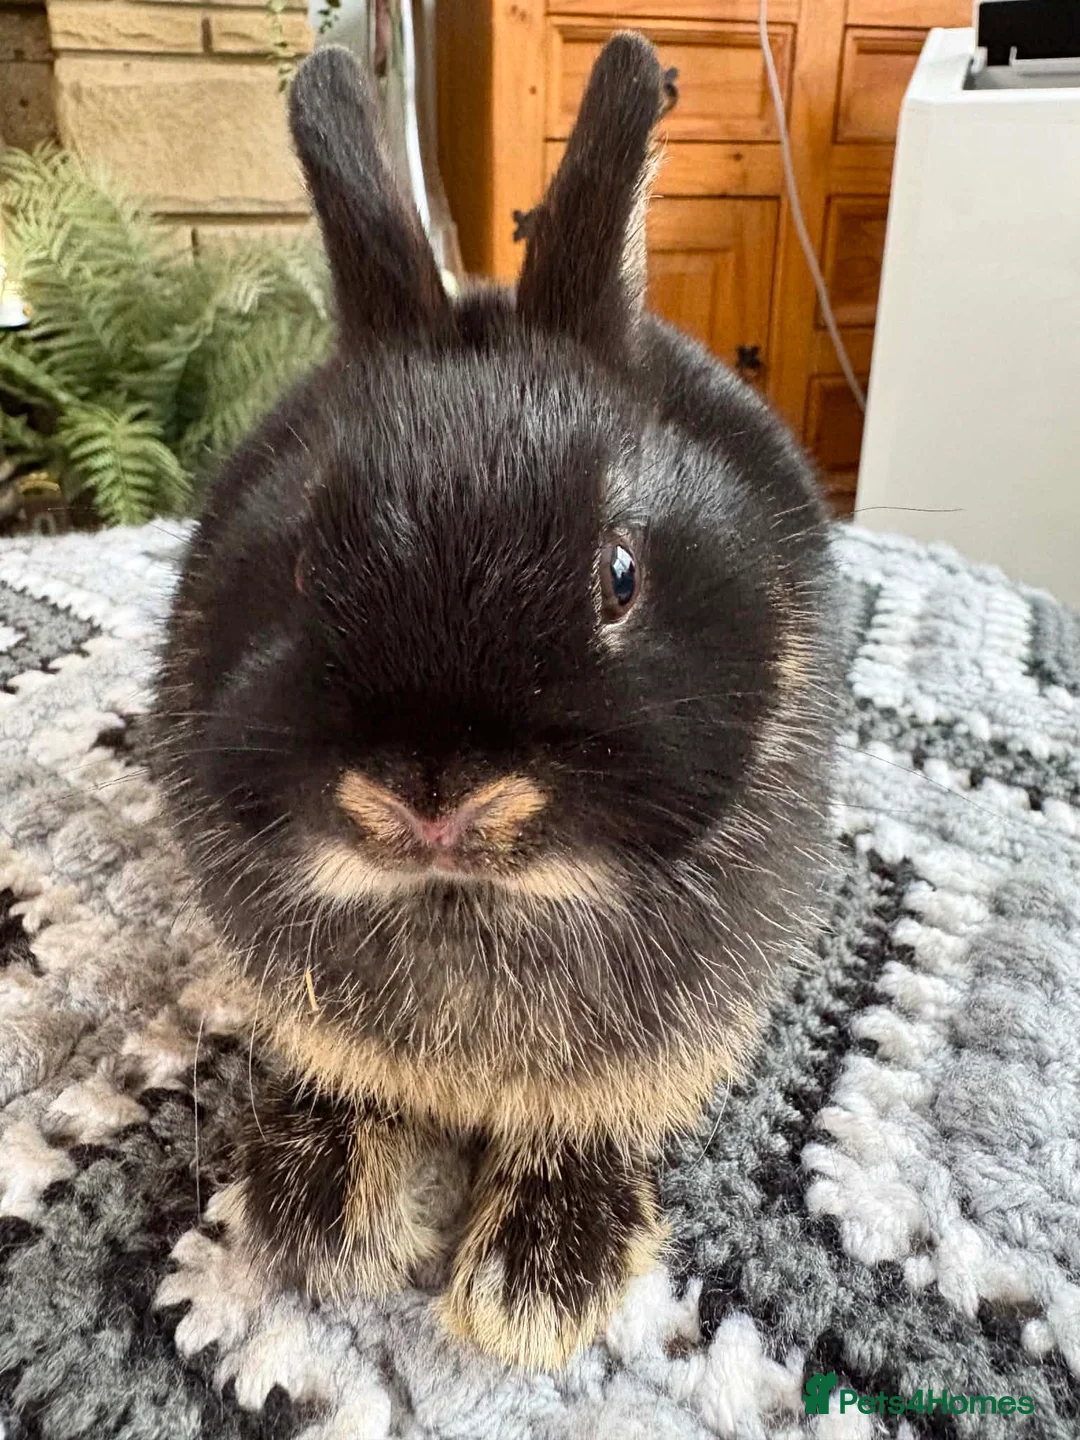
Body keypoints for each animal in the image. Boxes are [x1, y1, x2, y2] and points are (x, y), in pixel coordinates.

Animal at [154, 32, 840, 1371]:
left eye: (619, 574)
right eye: (301, 565)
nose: (432, 798)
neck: (470, 902)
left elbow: (581, 1118)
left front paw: (536, 1278)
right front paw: (322, 1212)